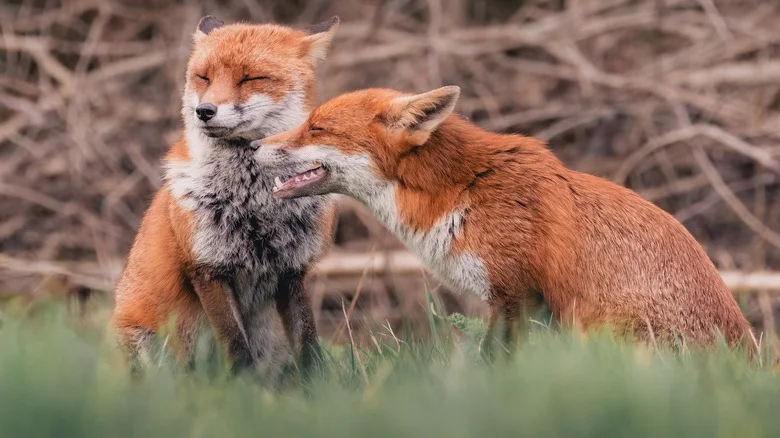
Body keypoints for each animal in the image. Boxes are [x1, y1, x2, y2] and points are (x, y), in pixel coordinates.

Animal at [111, 16, 339, 375]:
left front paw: (316, 386)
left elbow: (308, 345)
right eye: (204, 77)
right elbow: (237, 348)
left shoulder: (292, 271)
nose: (204, 111)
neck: (254, 204)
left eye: (251, 78)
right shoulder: (207, 269)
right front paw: (244, 389)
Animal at [253, 86, 757, 356]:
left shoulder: (514, 295)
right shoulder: (529, 309)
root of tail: (746, 357)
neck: (463, 192)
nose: (253, 146)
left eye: (317, 128)